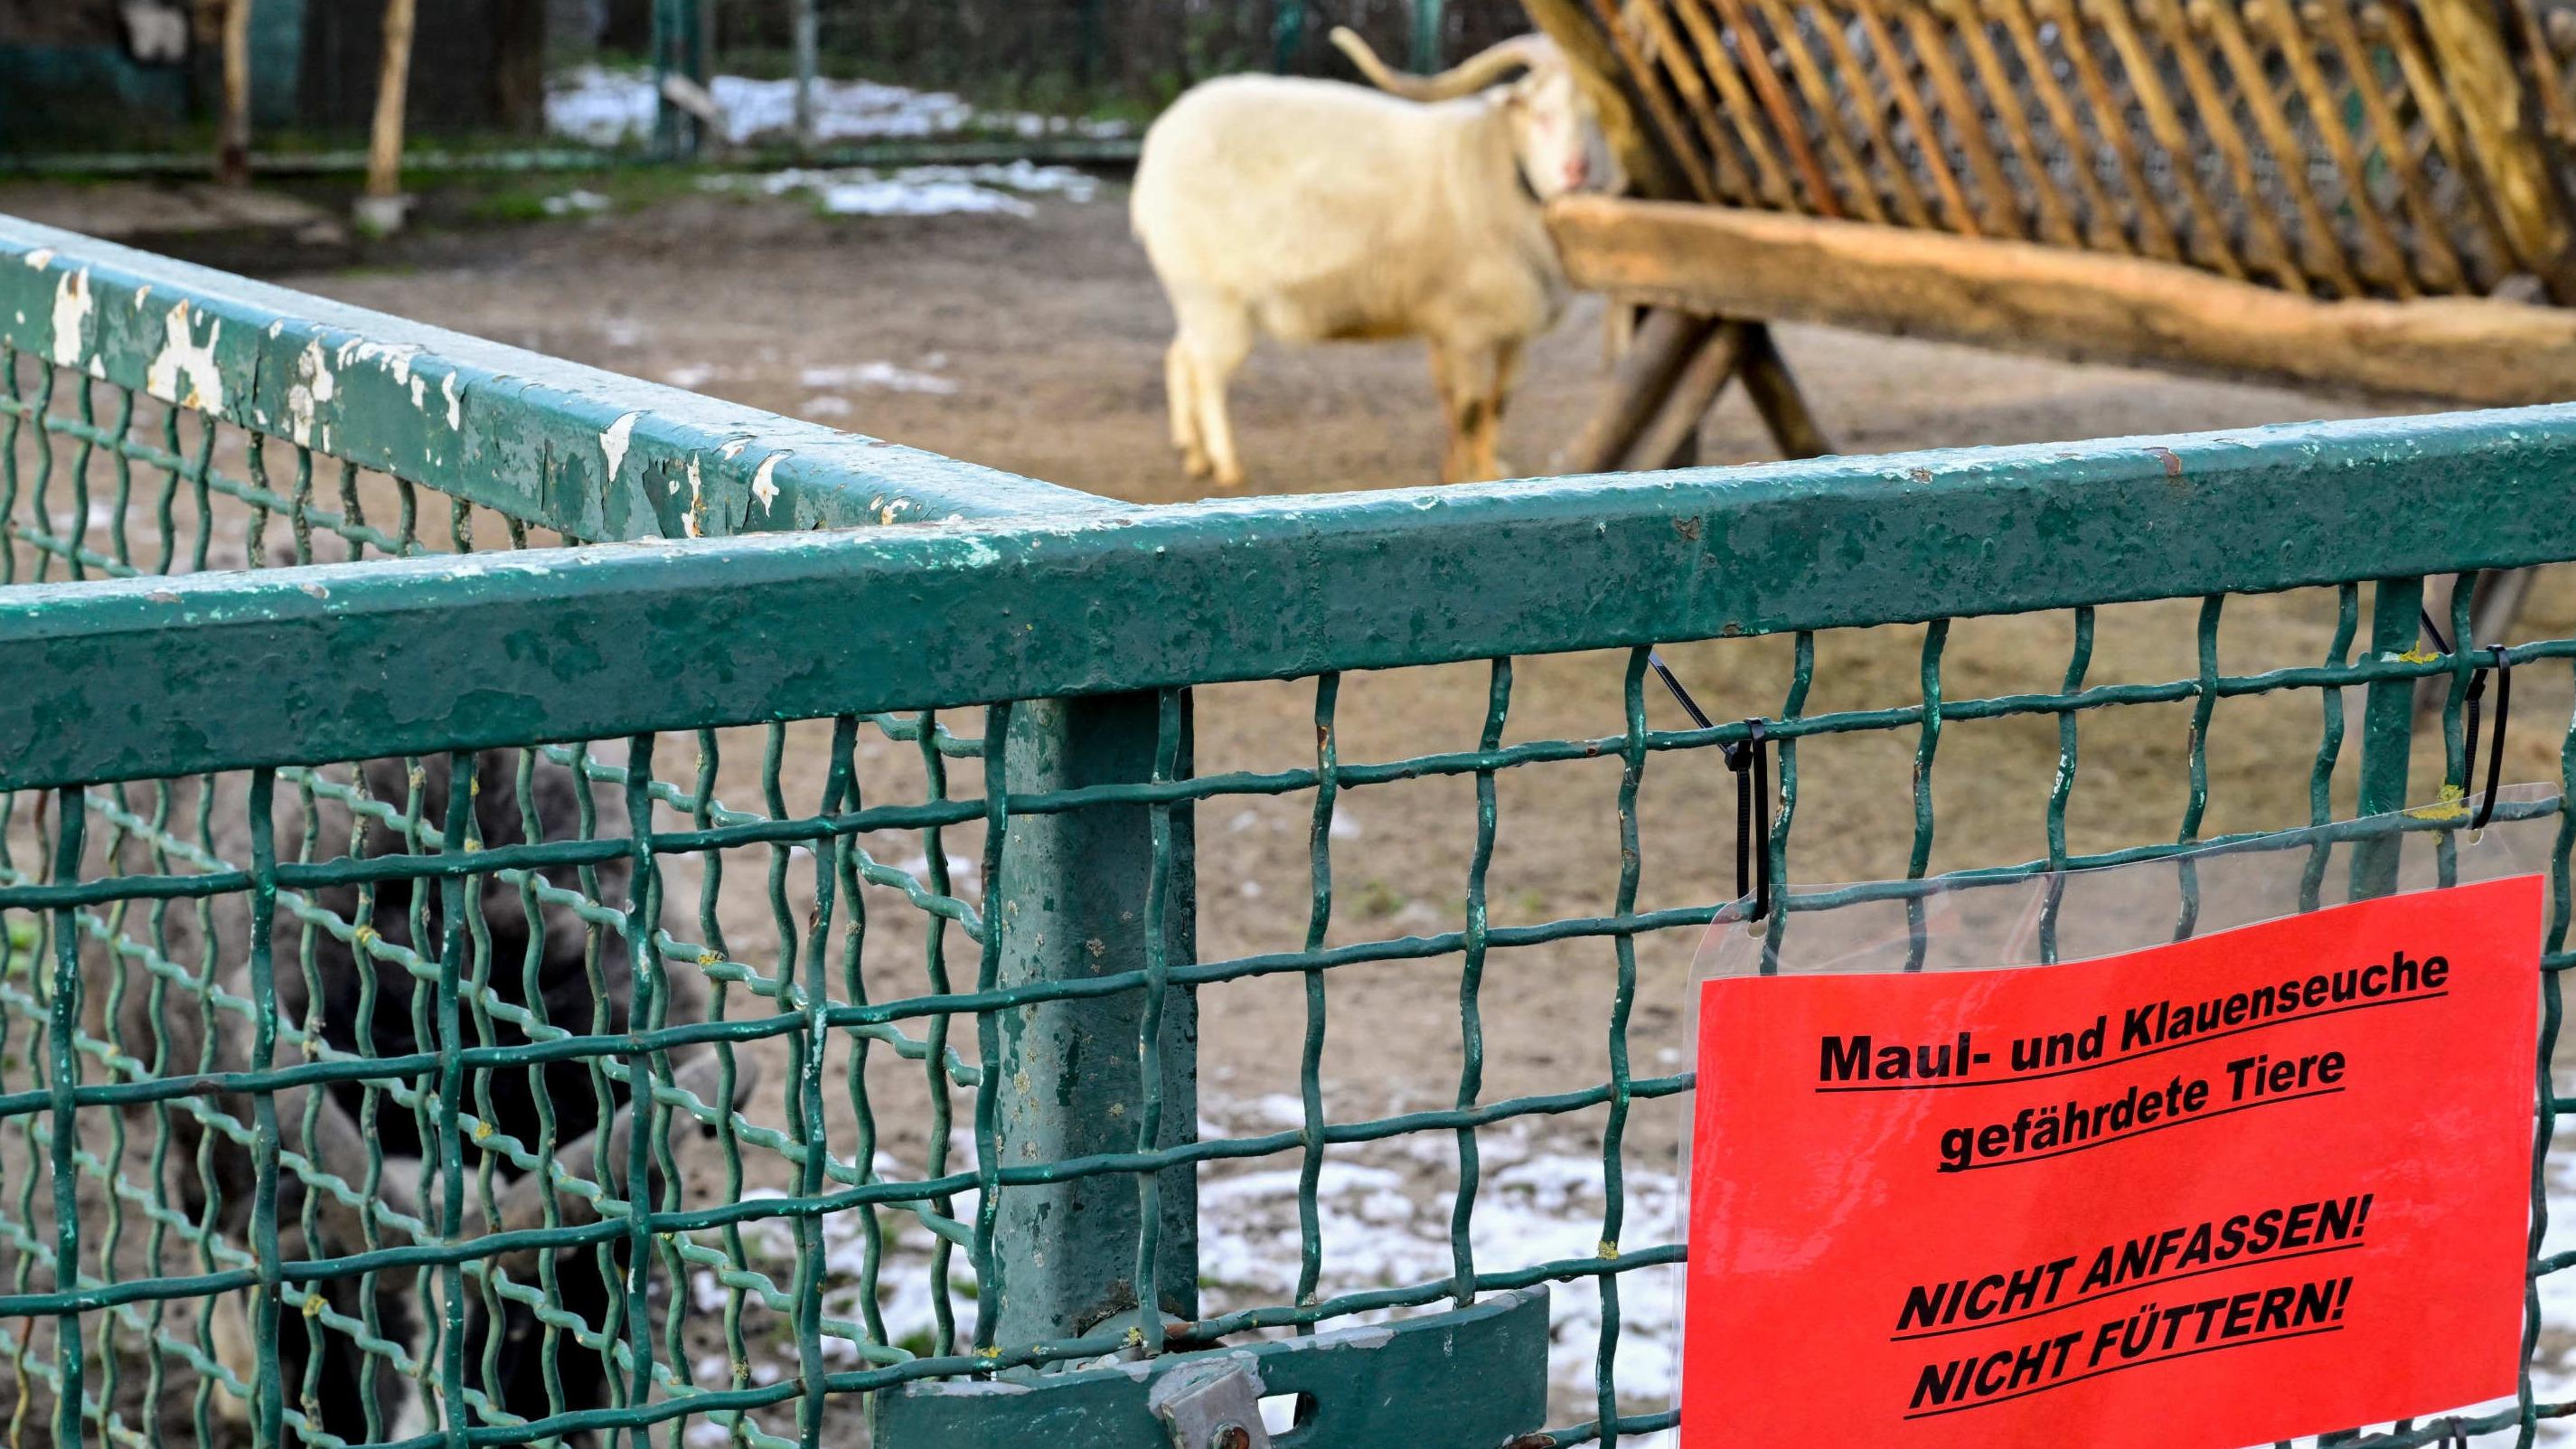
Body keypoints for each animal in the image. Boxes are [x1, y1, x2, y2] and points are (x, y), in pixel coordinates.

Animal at [1138, 28, 1597, 487]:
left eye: (1593, 116)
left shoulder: (1498, 328)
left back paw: (1193, 453)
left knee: (1181, 356)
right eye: (1542, 115)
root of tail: (1157, 151)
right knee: (1209, 372)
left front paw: (1484, 470)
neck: (1492, 164)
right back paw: (1227, 464)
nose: (1576, 170)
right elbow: (1469, 408)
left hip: (1195, 297)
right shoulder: (1468, 325)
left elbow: (1491, 402)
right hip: (1213, 295)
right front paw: (1472, 478)